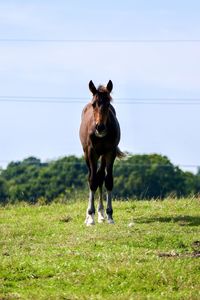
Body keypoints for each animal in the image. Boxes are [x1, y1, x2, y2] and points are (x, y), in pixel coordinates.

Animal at [79, 79, 123, 225]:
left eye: (108, 103)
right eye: (94, 104)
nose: (100, 127)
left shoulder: (110, 152)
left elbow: (108, 180)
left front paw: (109, 215)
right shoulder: (91, 152)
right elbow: (92, 180)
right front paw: (90, 217)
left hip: (102, 155)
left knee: (100, 176)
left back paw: (101, 213)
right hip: (88, 155)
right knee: (92, 177)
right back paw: (90, 215)